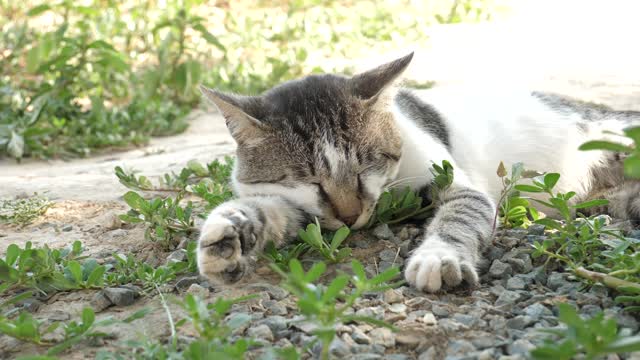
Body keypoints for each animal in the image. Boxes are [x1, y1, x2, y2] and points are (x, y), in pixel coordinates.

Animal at [198, 52, 636, 292]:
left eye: (366, 164)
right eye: (308, 181)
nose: (351, 216)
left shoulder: (458, 184)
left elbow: (460, 217)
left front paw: (439, 256)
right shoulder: (306, 211)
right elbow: (269, 211)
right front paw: (227, 234)